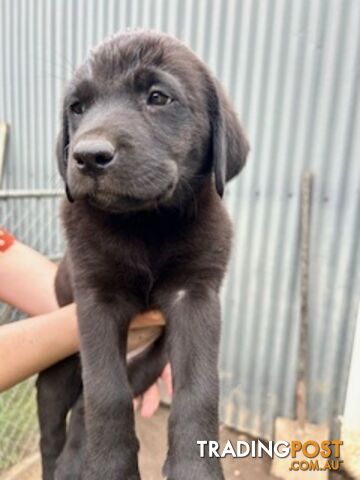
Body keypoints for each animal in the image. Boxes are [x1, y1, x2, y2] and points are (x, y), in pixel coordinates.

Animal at [37, 31, 250, 480]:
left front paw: (195, 468)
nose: (87, 156)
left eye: (158, 97)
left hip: (149, 361)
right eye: (76, 107)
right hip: (58, 372)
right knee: (55, 427)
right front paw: (109, 468)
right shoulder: (96, 298)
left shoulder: (195, 296)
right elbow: (106, 391)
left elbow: (199, 388)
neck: (145, 225)